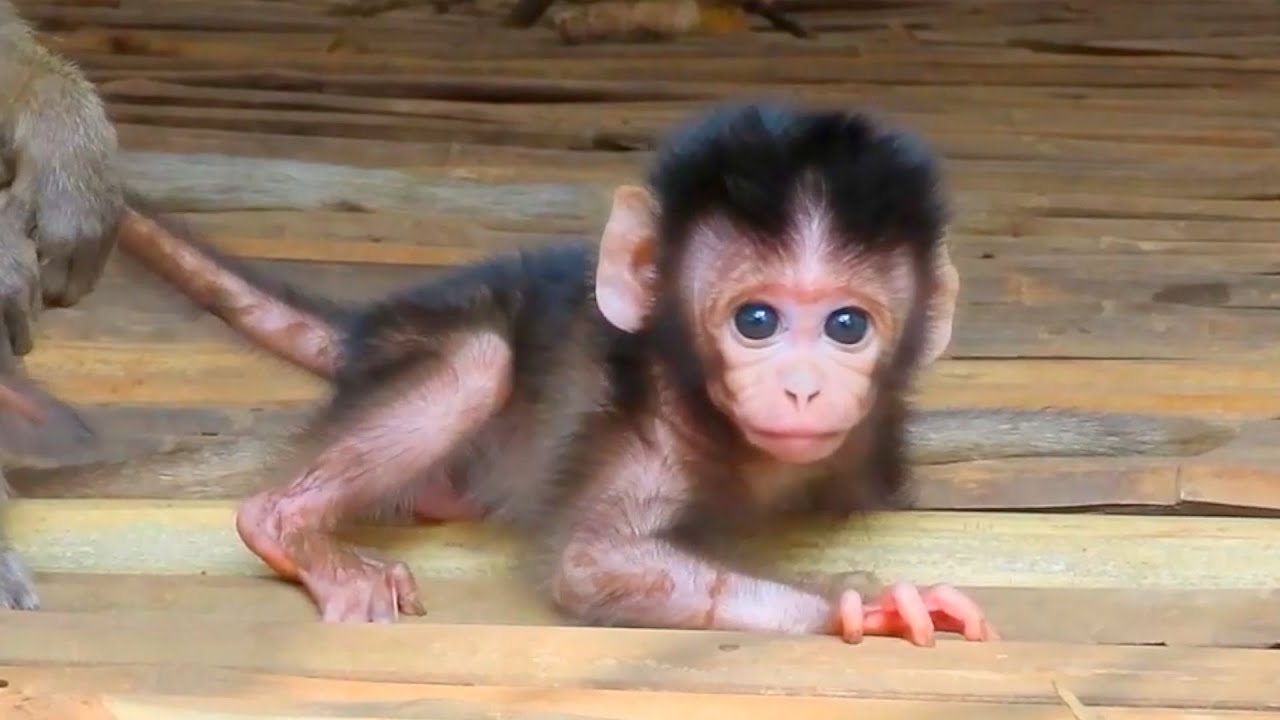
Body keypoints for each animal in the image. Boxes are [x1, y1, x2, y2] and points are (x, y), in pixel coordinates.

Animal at [111, 103, 1233, 645]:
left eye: (844, 327)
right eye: (754, 321)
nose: (799, 387)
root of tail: (377, 323)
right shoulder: (650, 434)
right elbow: (594, 562)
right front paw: (861, 608)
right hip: (425, 353)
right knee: (475, 360)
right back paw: (293, 527)